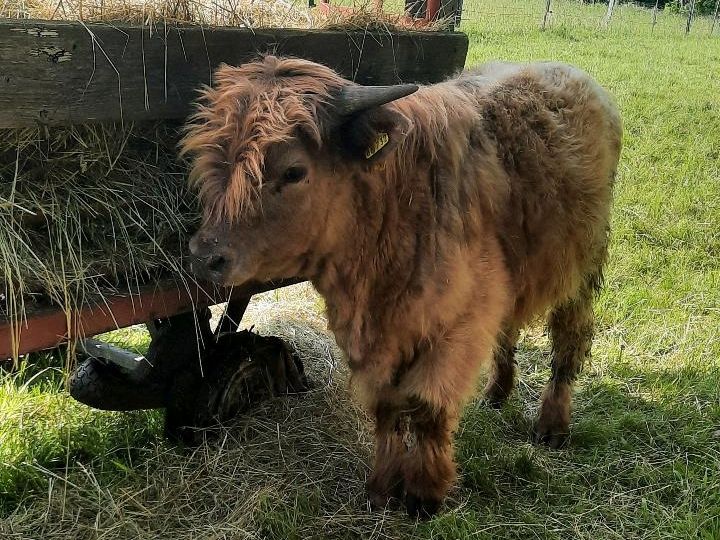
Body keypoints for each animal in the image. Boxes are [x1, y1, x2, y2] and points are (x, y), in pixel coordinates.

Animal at [183, 56, 620, 520]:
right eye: (211, 161)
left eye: (294, 170)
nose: (205, 256)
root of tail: (567, 73)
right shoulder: (375, 341)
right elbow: (387, 407)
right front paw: (382, 486)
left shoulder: (460, 324)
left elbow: (427, 407)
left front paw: (425, 493)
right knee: (510, 330)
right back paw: (497, 393)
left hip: (582, 269)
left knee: (570, 340)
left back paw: (552, 424)